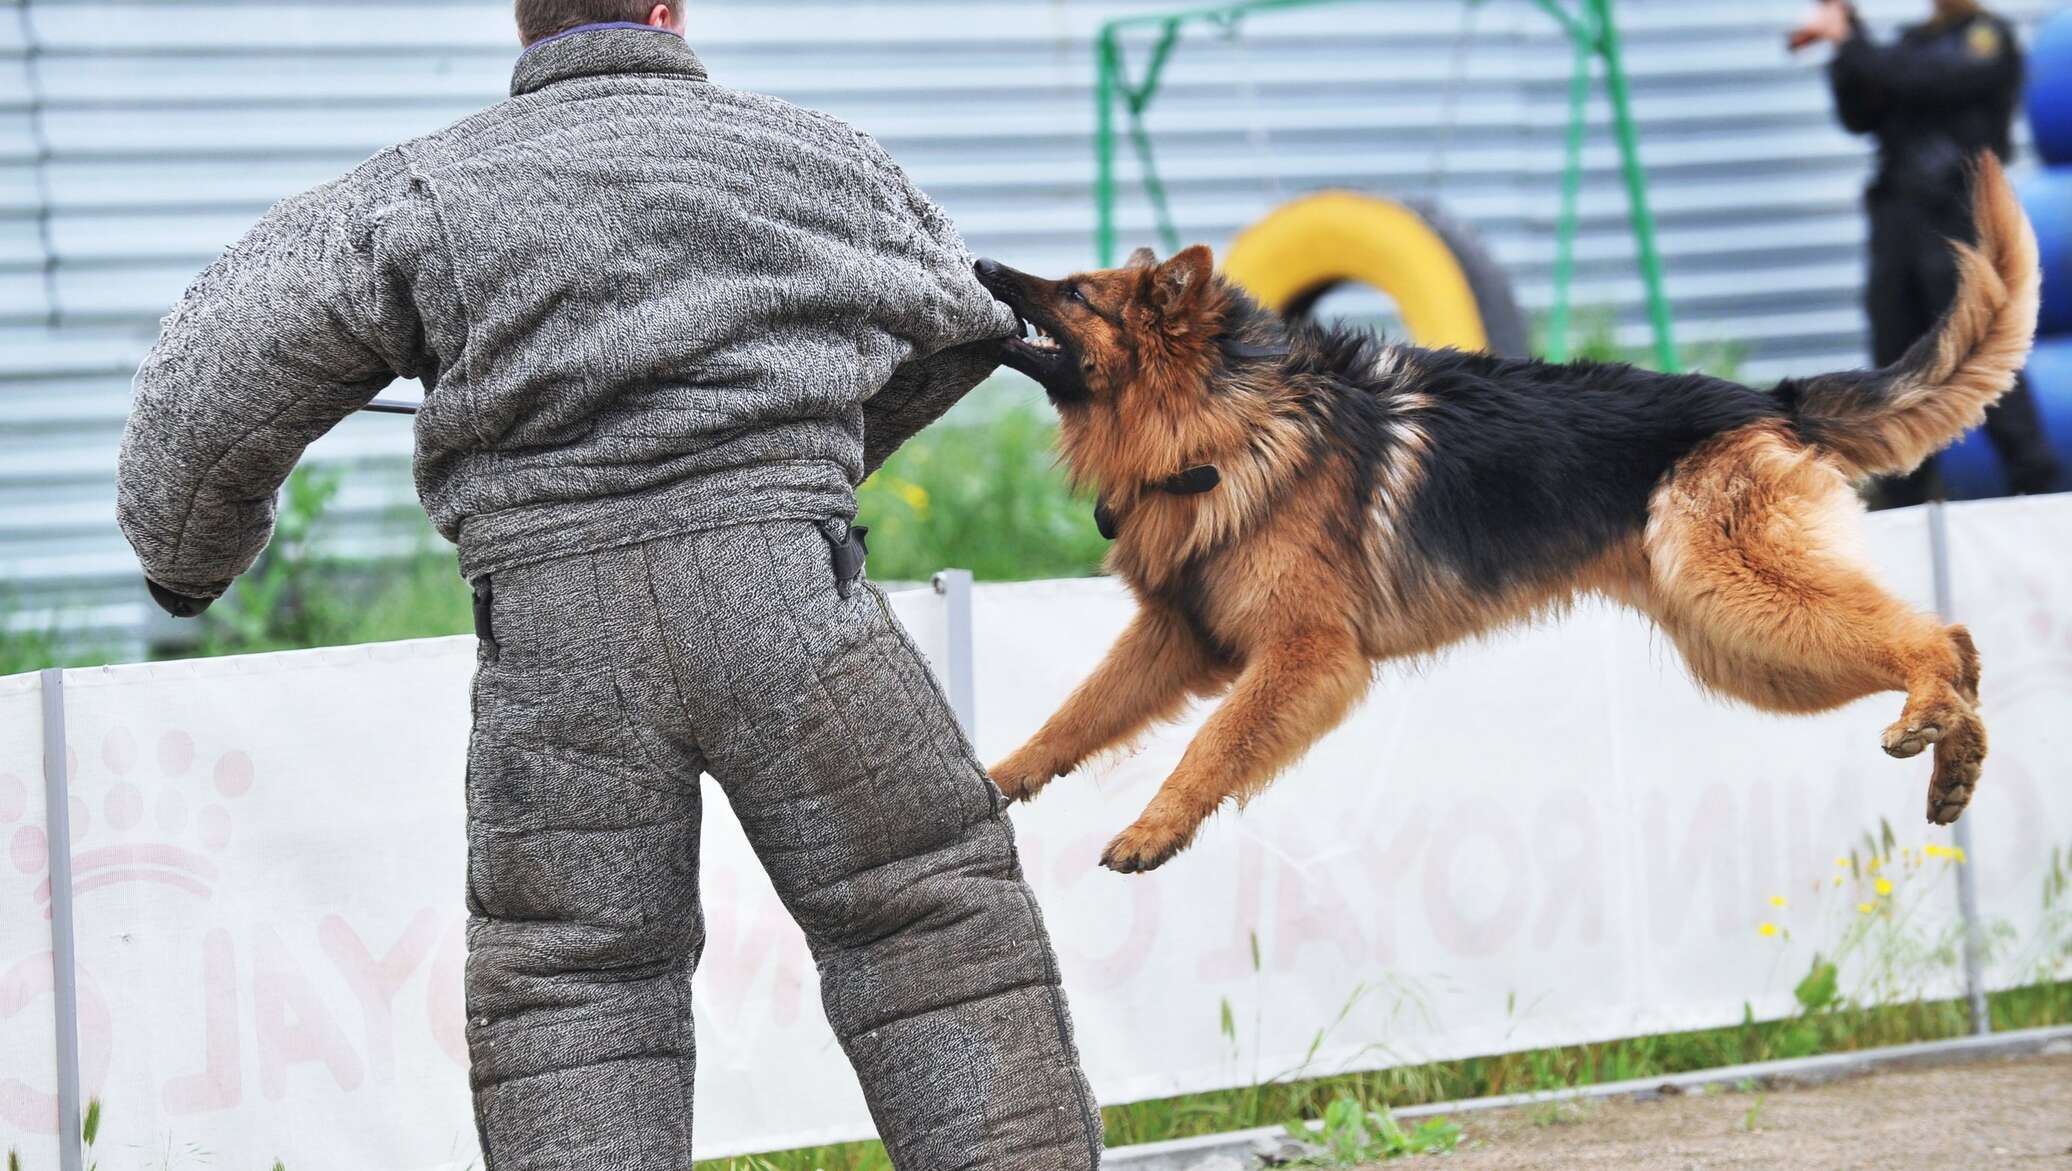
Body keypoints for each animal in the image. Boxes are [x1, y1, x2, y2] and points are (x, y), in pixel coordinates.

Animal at [973, 153, 2038, 866]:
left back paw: (1931, 718)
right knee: (1961, 645)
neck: (1220, 423)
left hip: (1740, 599)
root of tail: (1768, 398)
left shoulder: (1305, 655)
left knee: (1937, 635)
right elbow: (1075, 713)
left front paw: (1152, 830)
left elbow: (1210, 744)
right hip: (1742, 647)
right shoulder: (1179, 633)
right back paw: (1957, 764)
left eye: (1077, 293)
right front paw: (996, 780)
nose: (982, 266)